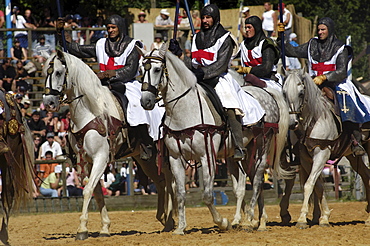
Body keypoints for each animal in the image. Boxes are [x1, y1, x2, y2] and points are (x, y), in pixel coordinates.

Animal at [42, 50, 176, 240]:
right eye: (45, 73)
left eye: (59, 72)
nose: (48, 103)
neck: (90, 112)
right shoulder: (85, 162)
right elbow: (96, 192)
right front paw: (104, 227)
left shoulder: (101, 158)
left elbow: (87, 190)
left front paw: (82, 229)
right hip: (145, 159)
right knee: (161, 181)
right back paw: (164, 219)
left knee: (171, 181)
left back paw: (170, 220)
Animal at [139, 45, 290, 234]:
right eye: (141, 70)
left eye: (157, 69)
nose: (145, 101)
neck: (186, 111)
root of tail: (267, 93)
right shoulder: (175, 158)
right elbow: (180, 193)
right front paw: (180, 227)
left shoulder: (207, 157)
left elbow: (208, 195)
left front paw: (222, 222)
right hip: (242, 153)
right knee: (248, 182)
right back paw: (256, 221)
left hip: (263, 145)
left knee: (257, 180)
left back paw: (249, 219)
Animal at [282, 69, 370, 229]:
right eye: (284, 93)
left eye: (301, 93)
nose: (292, 123)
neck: (314, 118)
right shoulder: (305, 159)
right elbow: (317, 186)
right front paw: (324, 217)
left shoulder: (322, 154)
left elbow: (309, 184)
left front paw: (302, 219)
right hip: (352, 156)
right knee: (366, 176)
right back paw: (368, 216)